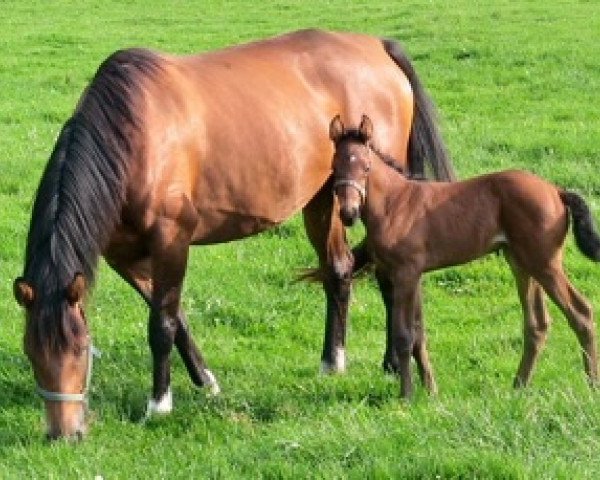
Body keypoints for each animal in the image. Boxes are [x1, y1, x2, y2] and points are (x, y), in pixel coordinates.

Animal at [11, 29, 452, 438]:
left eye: (81, 350)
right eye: (30, 352)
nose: (63, 434)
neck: (134, 138)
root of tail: (378, 46)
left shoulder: (171, 239)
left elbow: (162, 324)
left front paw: (160, 404)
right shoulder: (125, 255)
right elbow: (176, 316)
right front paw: (205, 381)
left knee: (383, 275)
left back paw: (390, 363)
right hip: (323, 197)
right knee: (339, 270)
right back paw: (335, 362)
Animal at [328, 114, 600, 400]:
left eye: (367, 167)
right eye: (334, 166)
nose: (348, 213)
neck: (395, 204)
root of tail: (557, 190)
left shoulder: (406, 273)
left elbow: (404, 336)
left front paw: (407, 395)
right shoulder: (411, 275)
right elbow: (418, 334)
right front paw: (431, 390)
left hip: (545, 263)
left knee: (581, 312)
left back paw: (591, 384)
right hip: (521, 263)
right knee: (537, 324)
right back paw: (518, 385)